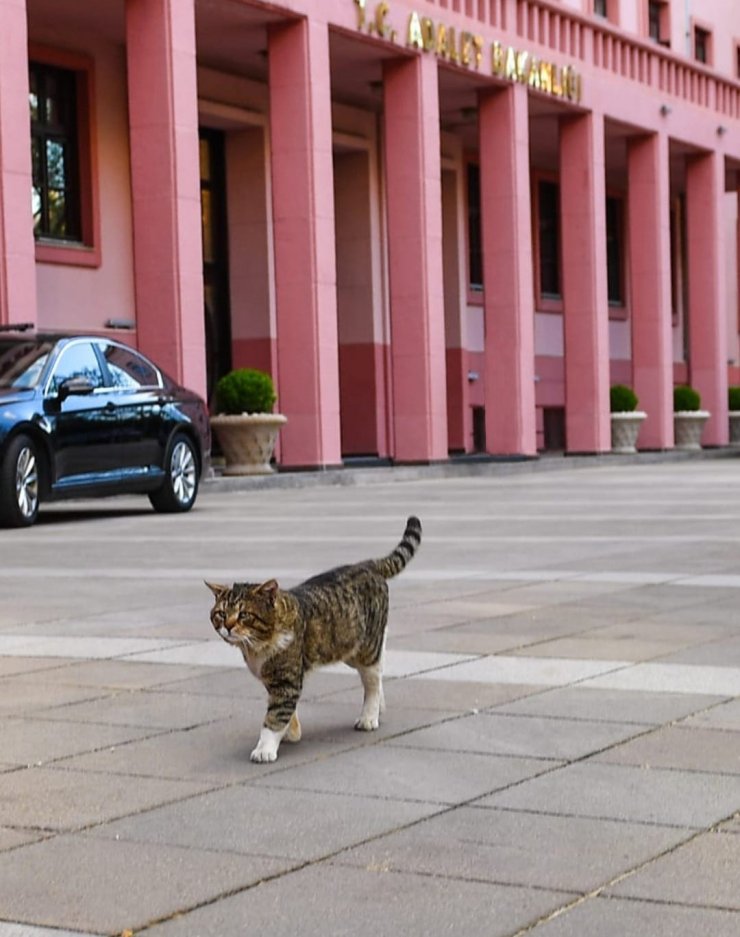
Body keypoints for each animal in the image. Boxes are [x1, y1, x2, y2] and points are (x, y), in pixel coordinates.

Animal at [205, 516, 422, 764]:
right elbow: (286, 712)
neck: (257, 647)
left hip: (365, 647)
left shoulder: (285, 680)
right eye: (221, 614)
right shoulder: (277, 682)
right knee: (379, 666)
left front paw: (265, 748)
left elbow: (275, 716)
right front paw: (291, 733)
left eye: (244, 615)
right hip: (349, 646)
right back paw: (380, 707)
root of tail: (366, 565)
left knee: (372, 681)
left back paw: (369, 716)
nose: (228, 626)